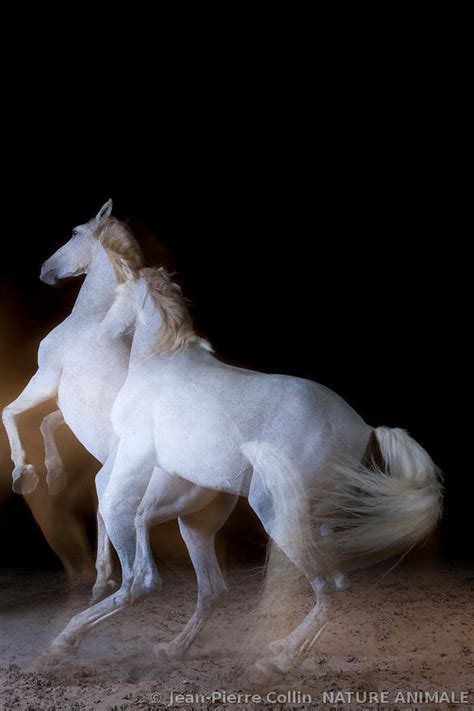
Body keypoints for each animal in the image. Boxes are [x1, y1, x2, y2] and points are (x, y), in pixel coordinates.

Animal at [48, 265, 443, 672]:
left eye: (116, 296)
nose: (101, 332)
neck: (163, 364)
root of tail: (364, 428)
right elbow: (142, 515)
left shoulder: (138, 456)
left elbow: (128, 520)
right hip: (314, 525)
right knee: (315, 585)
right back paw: (224, 648)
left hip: (277, 514)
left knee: (327, 585)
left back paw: (279, 660)